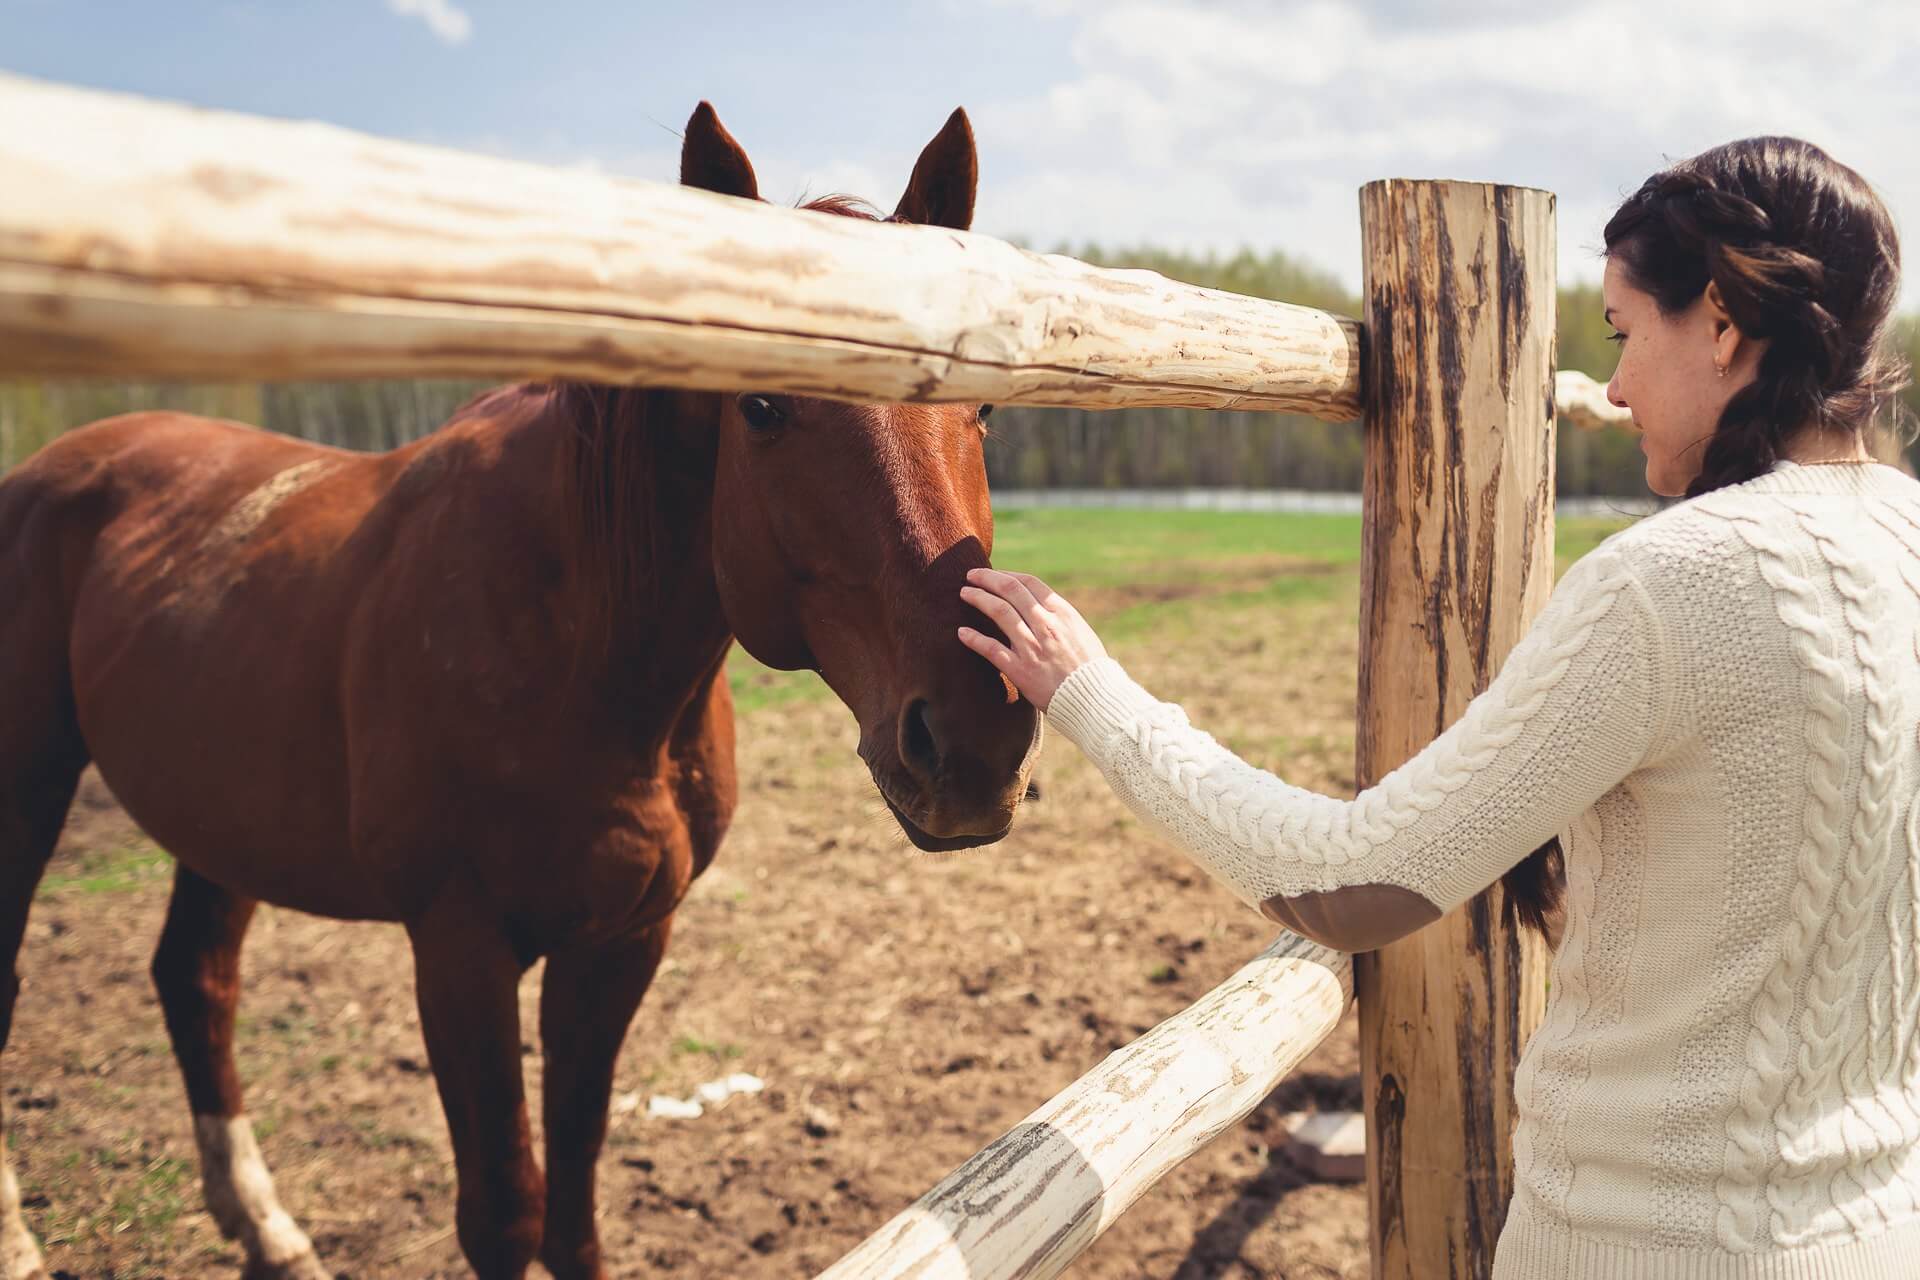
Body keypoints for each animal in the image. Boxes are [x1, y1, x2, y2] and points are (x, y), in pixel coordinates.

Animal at [0, 107, 1036, 1280]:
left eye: (984, 409)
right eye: (762, 406)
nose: (975, 735)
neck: (584, 661)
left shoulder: (623, 941)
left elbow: (572, 1197)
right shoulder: (460, 950)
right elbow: (504, 1208)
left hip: (219, 823)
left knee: (196, 982)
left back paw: (268, 1230)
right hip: (27, 790)